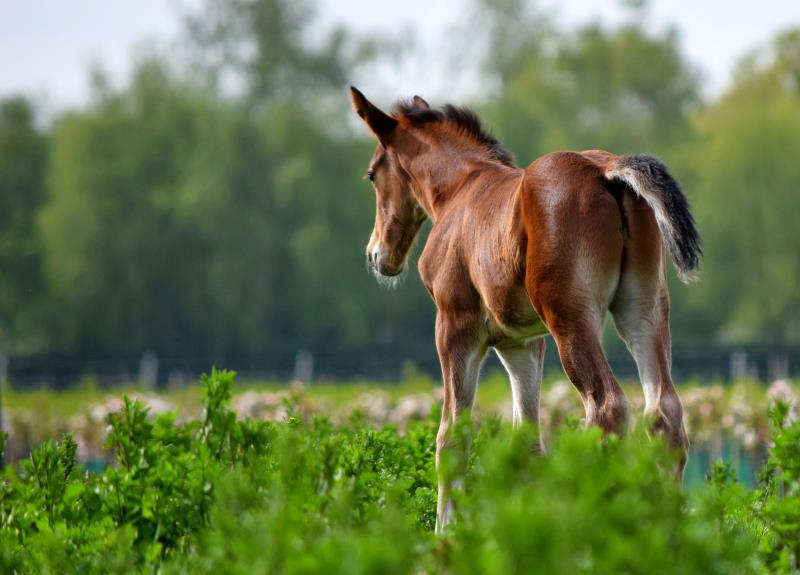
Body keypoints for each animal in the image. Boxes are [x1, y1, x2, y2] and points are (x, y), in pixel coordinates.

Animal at [350, 87, 701, 533]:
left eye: (372, 174)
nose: (377, 255)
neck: (460, 189)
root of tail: (606, 171)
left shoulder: (455, 328)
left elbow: (452, 434)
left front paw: (446, 531)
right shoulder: (521, 344)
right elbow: (527, 441)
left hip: (571, 318)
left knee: (608, 407)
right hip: (643, 310)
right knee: (664, 412)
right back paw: (665, 527)